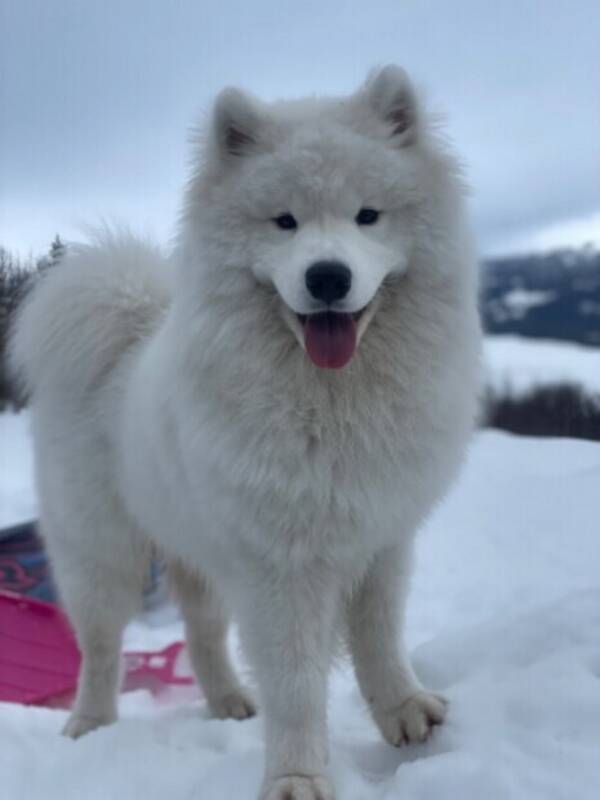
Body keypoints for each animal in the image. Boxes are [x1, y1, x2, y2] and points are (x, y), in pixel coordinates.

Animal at [12, 65, 482, 796]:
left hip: (195, 549)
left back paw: (230, 703)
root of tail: (123, 334)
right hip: (100, 551)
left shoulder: (382, 538)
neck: (332, 402)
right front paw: (297, 778)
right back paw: (89, 725)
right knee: (100, 646)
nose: (327, 276)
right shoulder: (279, 567)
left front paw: (405, 711)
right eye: (284, 222)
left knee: (202, 634)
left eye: (367, 215)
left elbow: (380, 636)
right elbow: (295, 683)